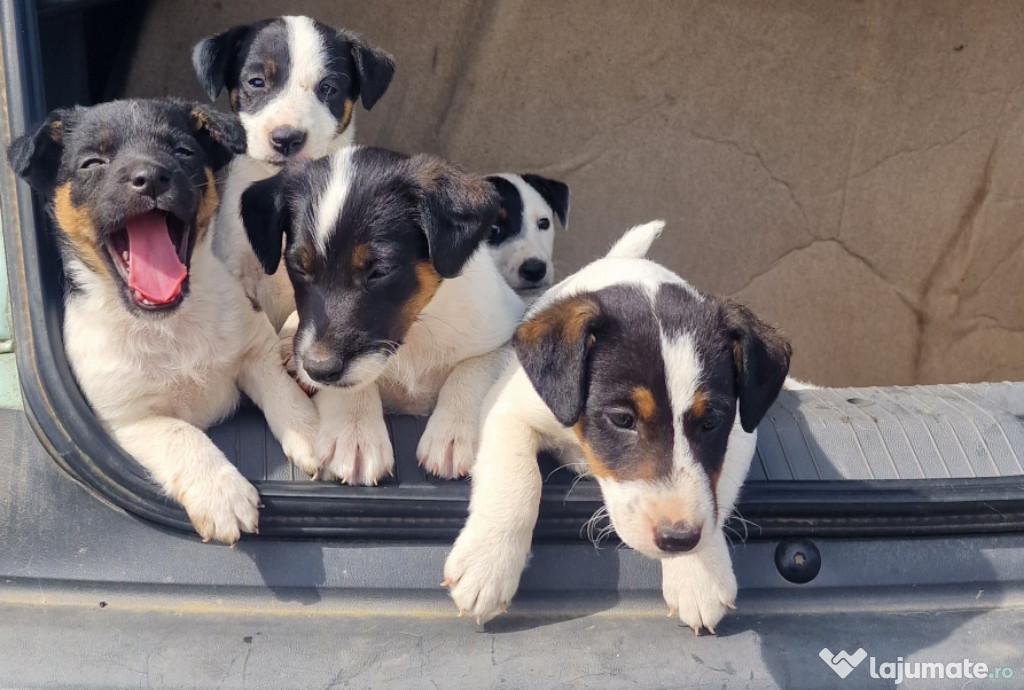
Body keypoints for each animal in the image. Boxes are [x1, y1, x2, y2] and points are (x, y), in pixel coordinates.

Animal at [4, 99, 319, 544]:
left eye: (184, 152)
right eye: (92, 162)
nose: (150, 177)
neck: (169, 324)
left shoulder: (254, 349)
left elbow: (283, 391)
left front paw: (312, 433)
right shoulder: (129, 419)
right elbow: (182, 435)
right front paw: (221, 491)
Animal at [242, 145, 524, 483]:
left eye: (379, 271)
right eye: (298, 267)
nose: (317, 369)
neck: (414, 333)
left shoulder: (505, 330)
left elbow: (473, 370)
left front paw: (452, 433)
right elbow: (351, 384)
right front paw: (354, 432)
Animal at [442, 223, 790, 630]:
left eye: (711, 422)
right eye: (622, 419)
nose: (678, 539)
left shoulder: (741, 432)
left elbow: (716, 487)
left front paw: (697, 575)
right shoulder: (508, 408)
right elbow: (517, 479)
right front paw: (487, 565)